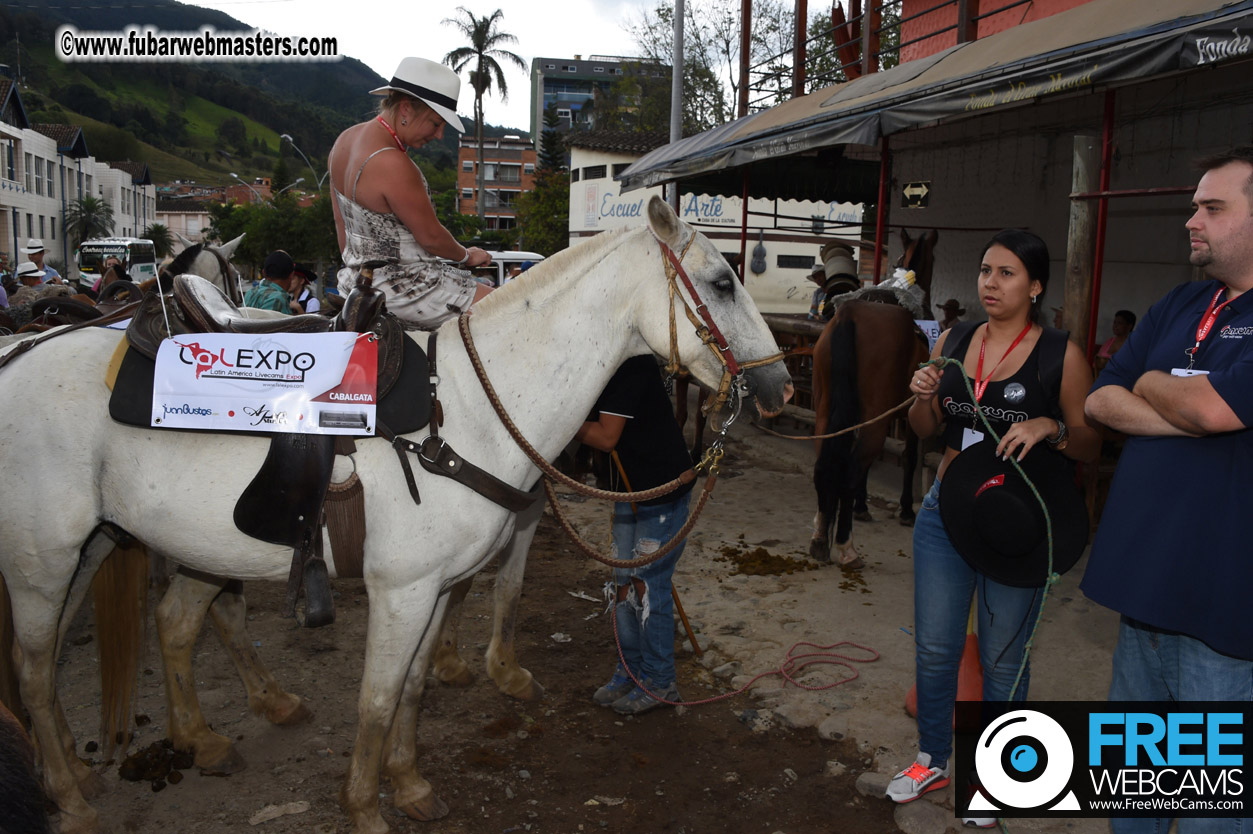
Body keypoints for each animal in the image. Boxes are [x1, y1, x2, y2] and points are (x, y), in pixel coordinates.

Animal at [0, 197, 781, 826]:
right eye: (721, 281)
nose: (778, 386)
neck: (464, 411)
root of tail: (18, 353)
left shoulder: (436, 588)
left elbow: (410, 690)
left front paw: (408, 787)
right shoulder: (401, 591)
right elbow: (377, 700)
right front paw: (365, 809)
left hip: (114, 546)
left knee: (135, 634)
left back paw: (112, 757)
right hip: (44, 559)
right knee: (35, 670)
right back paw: (70, 797)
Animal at [806, 227, 937, 566]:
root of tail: (849, 316)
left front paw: (861, 506)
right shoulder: (906, 417)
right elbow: (909, 458)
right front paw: (905, 510)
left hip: (826, 411)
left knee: (824, 466)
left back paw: (820, 537)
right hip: (875, 421)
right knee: (852, 469)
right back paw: (845, 545)